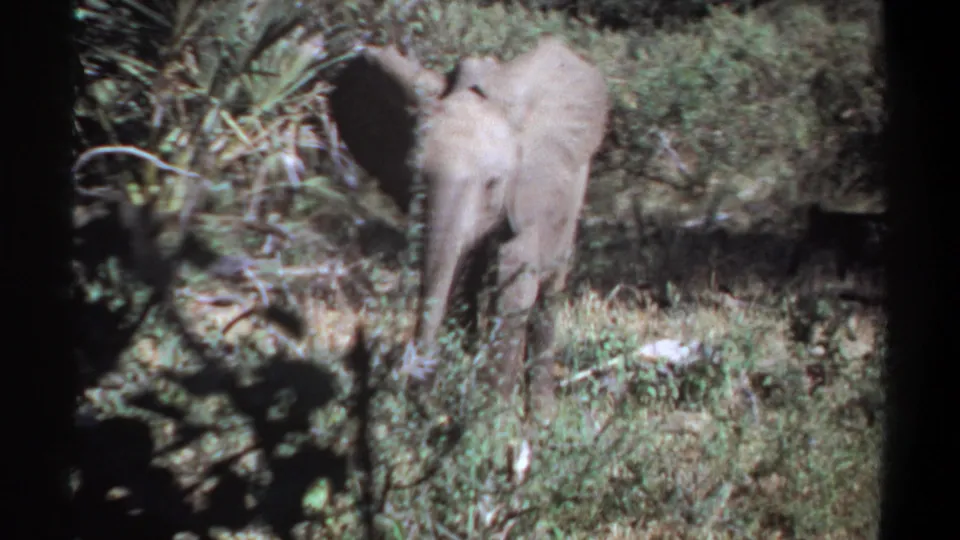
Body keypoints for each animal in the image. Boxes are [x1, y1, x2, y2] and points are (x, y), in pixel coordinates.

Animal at [328, 37, 610, 415]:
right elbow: (454, 283)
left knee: (550, 286)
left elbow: (515, 287)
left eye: (493, 184)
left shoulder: (526, 194)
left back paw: (542, 416)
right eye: (414, 177)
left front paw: (493, 419)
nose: (414, 390)